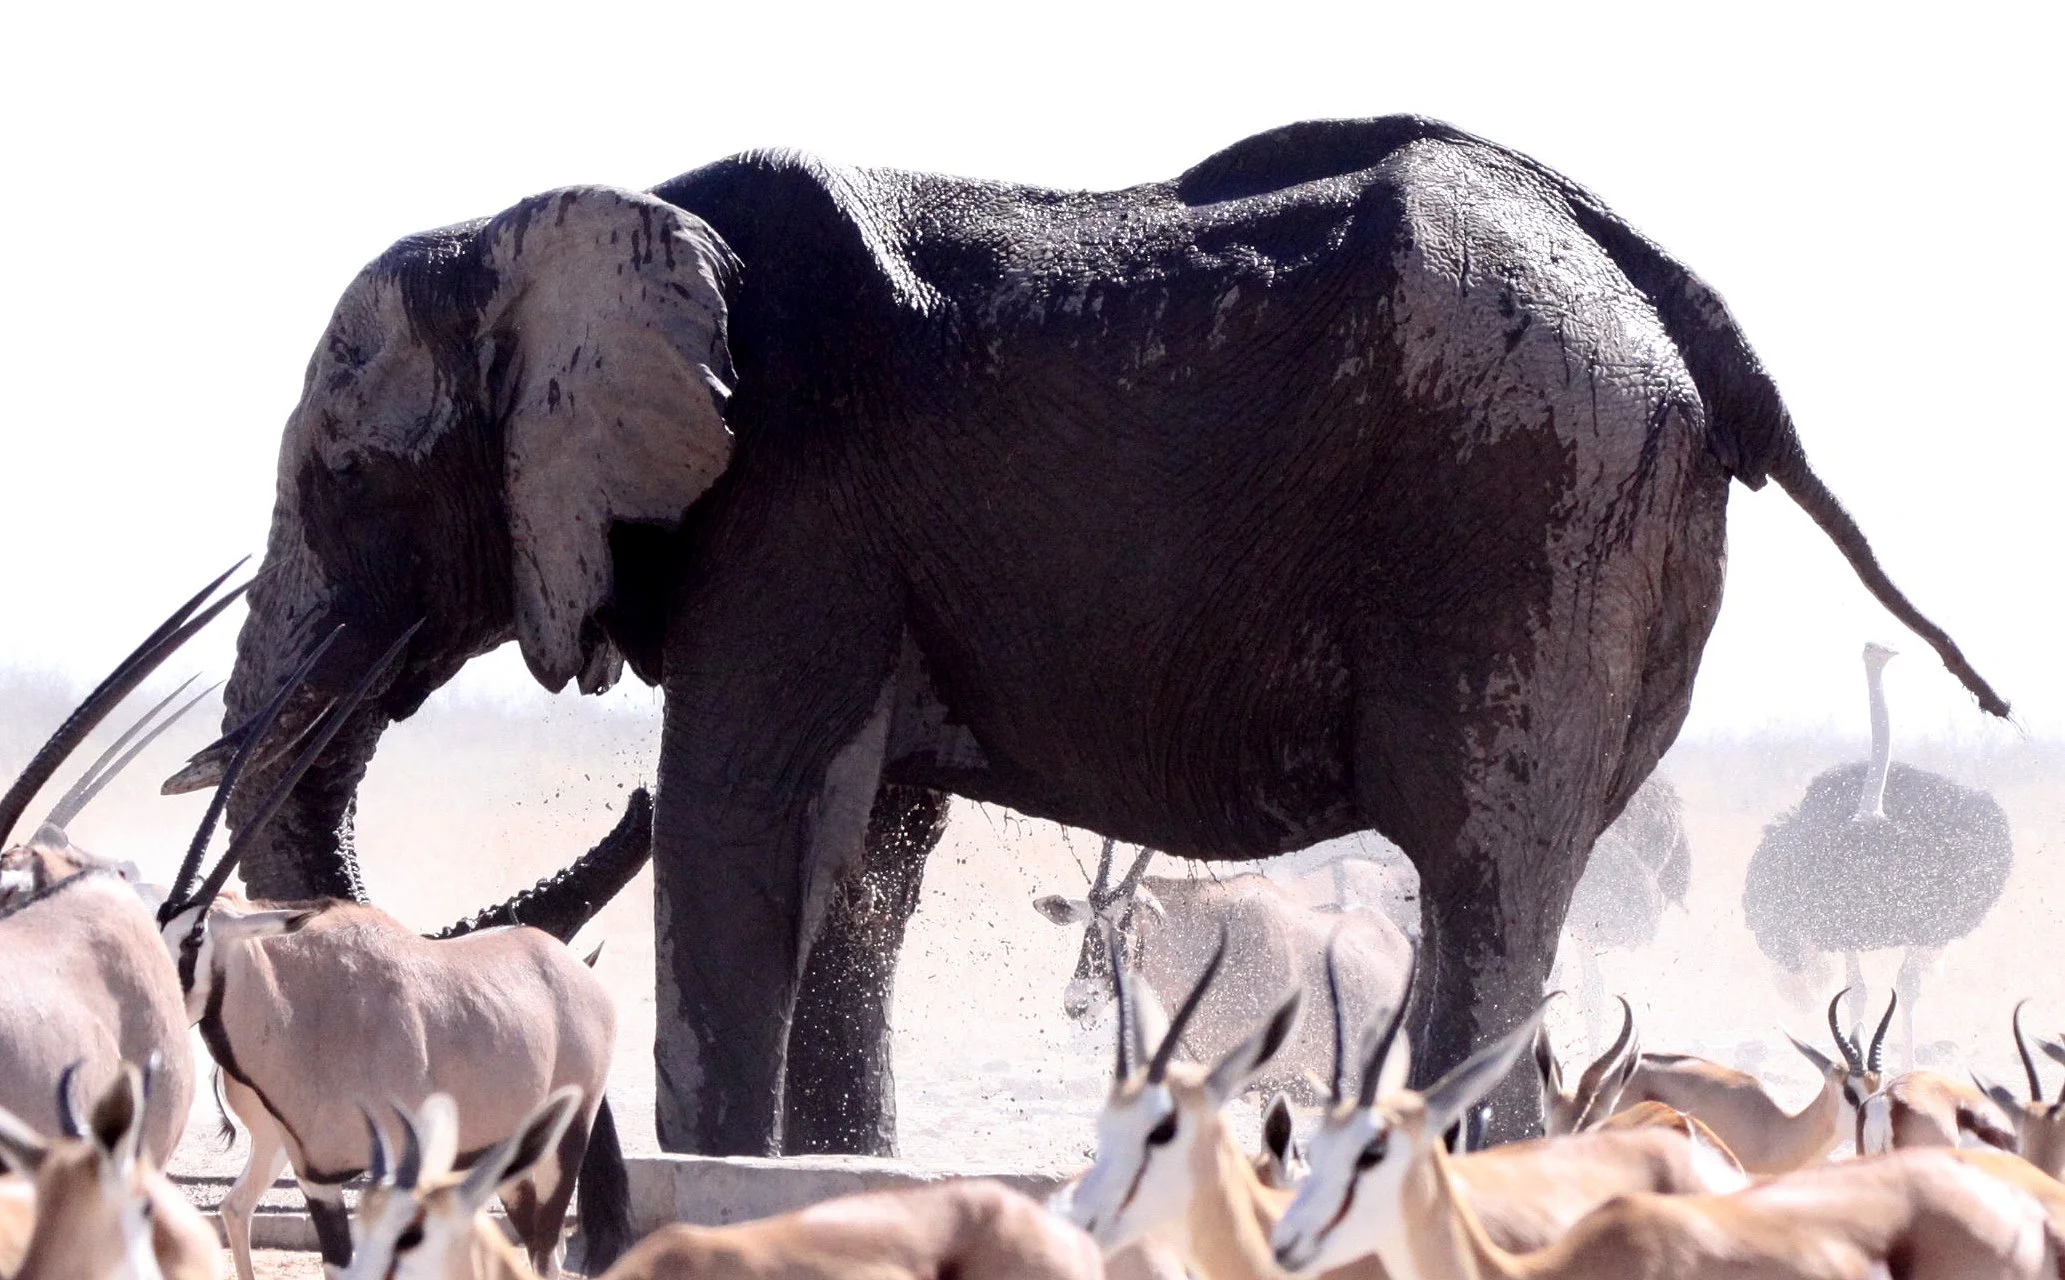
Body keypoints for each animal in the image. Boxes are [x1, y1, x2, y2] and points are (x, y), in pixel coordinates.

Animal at [168, 114, 2005, 1153]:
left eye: (344, 478)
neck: (570, 218)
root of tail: (1672, 291)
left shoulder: (797, 510)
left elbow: (745, 830)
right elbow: (861, 866)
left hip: (1530, 509)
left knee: (1484, 881)